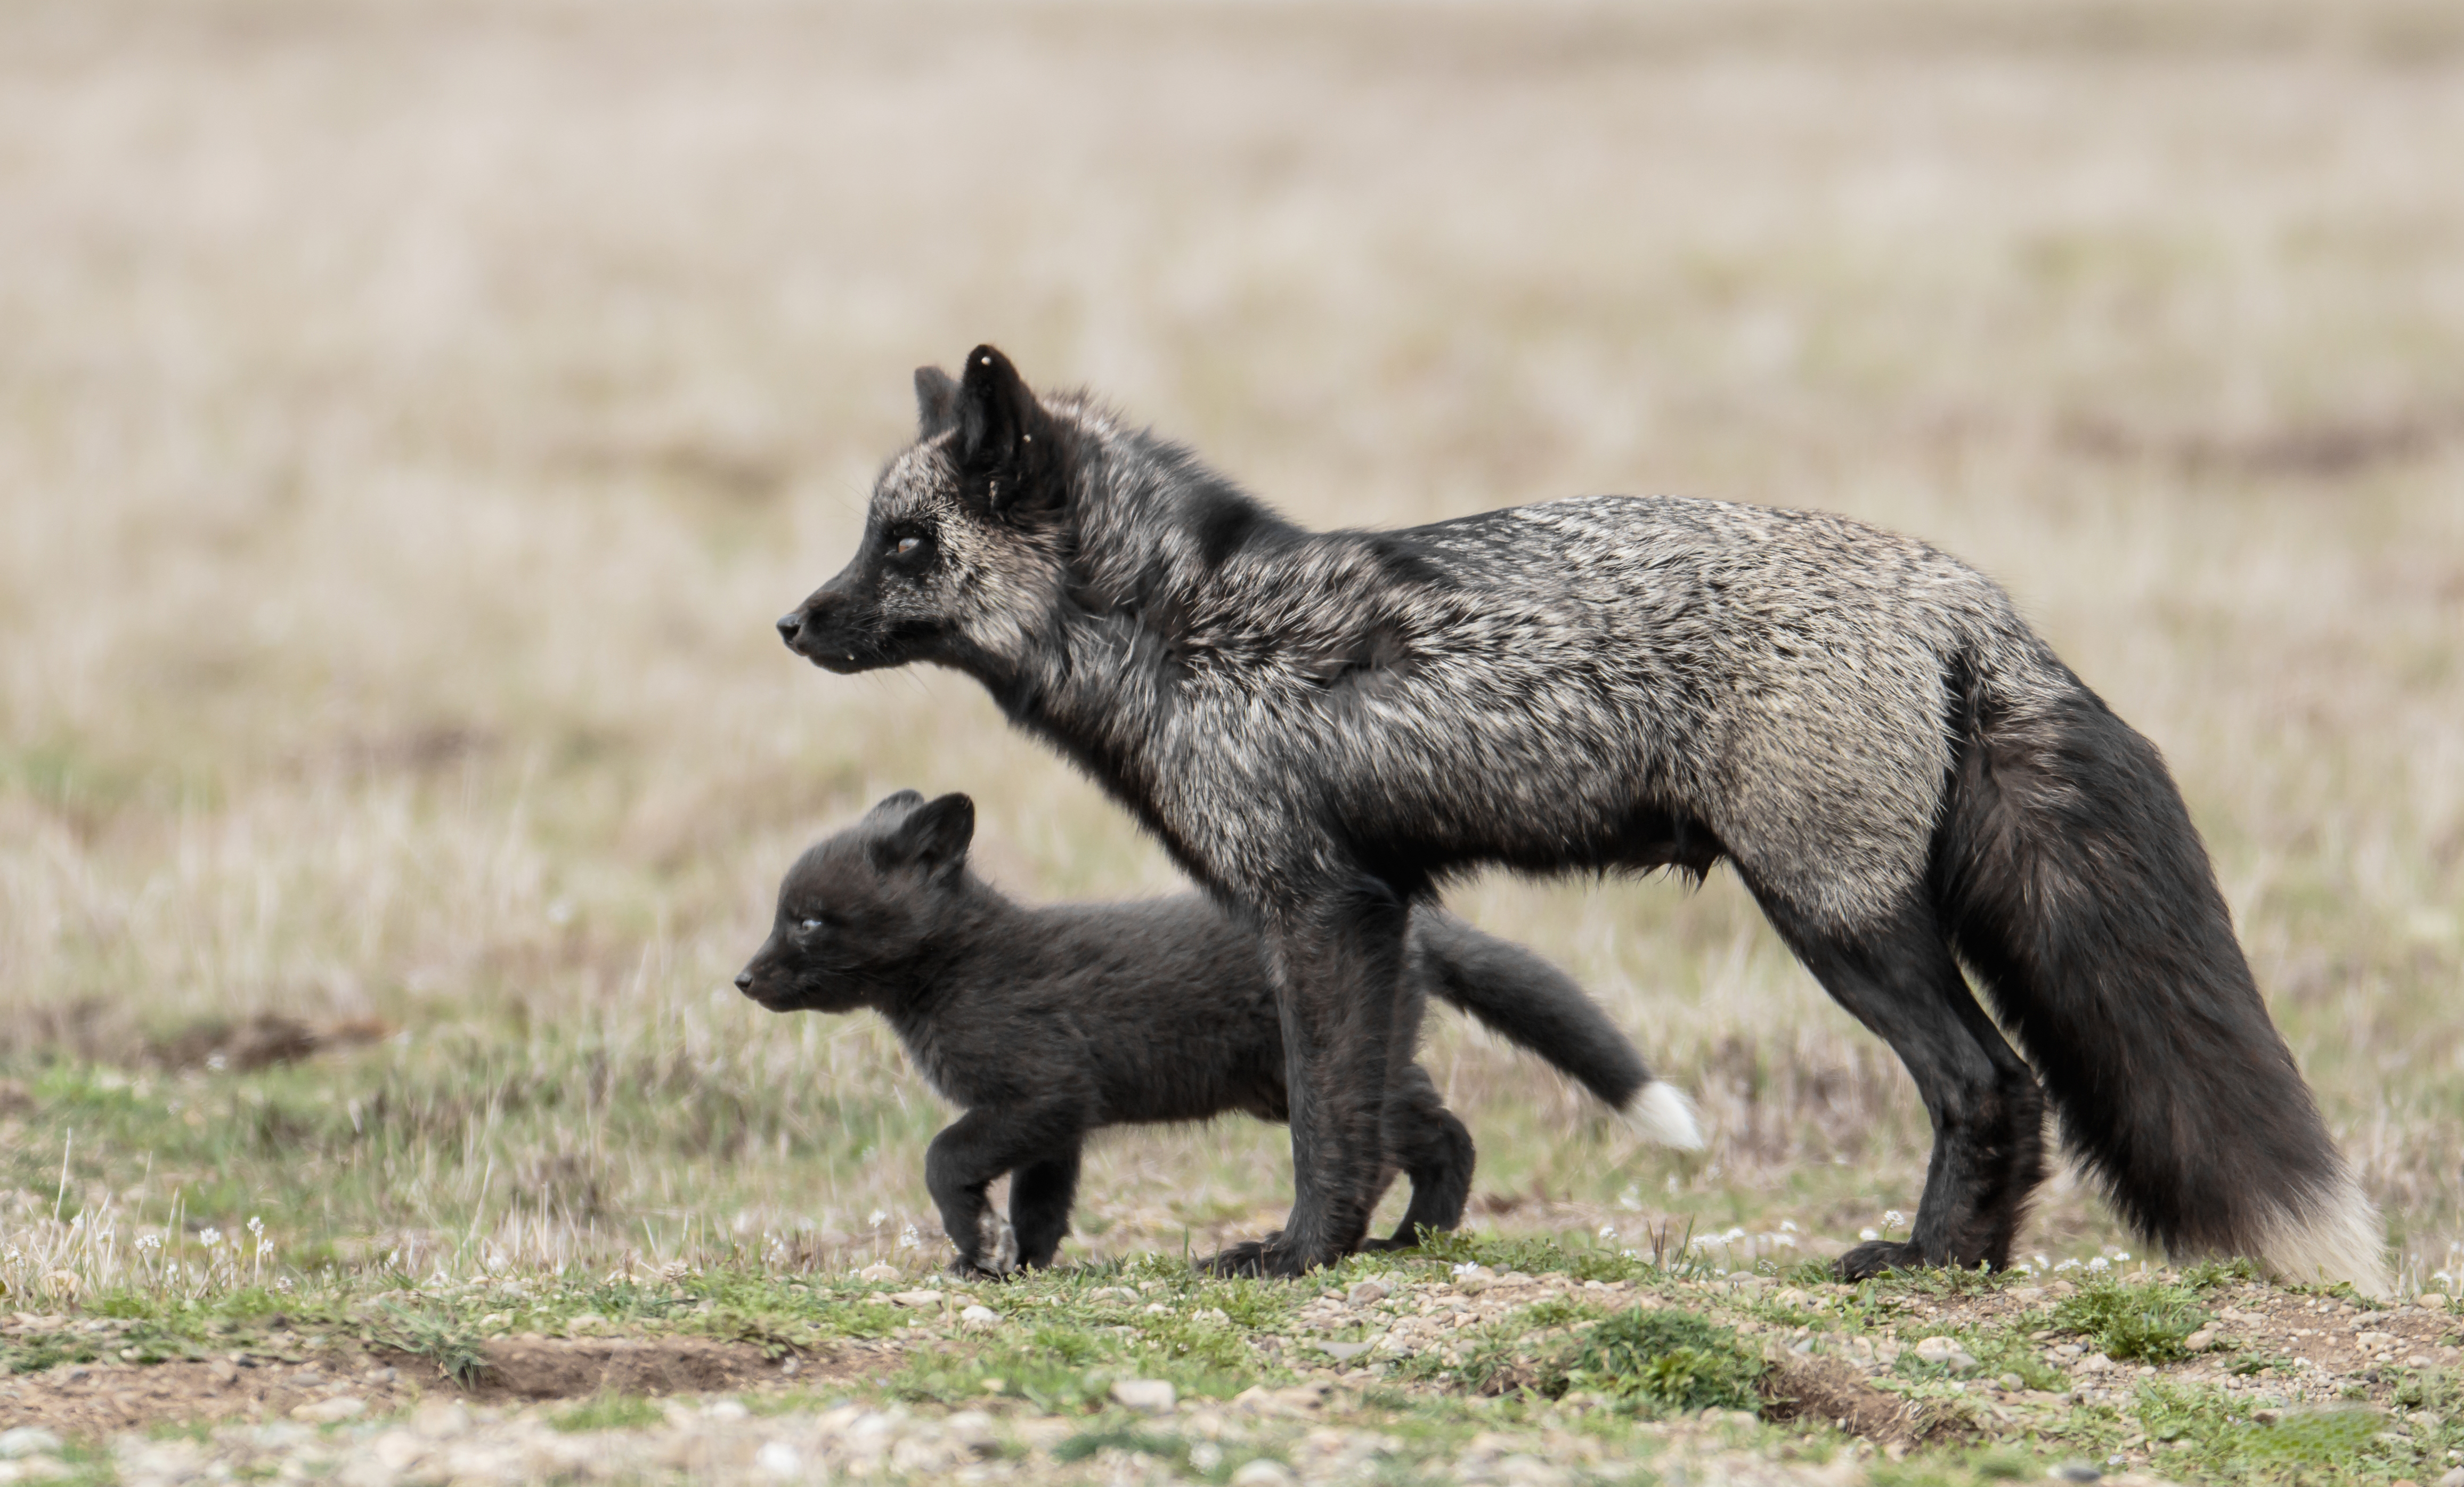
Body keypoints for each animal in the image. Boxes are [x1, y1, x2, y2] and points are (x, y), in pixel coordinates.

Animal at [774, 345, 2385, 1292]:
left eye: (902, 543)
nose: (790, 622)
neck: (1189, 628)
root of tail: (1956, 587)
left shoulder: (1319, 903)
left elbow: (1328, 1119)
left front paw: (1300, 1256)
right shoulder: (1377, 905)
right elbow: (1376, 1111)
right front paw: (1385, 1242)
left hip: (1835, 918)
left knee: (1988, 1081)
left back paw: (1931, 1263)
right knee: (2001, 1088)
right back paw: (1964, 1261)